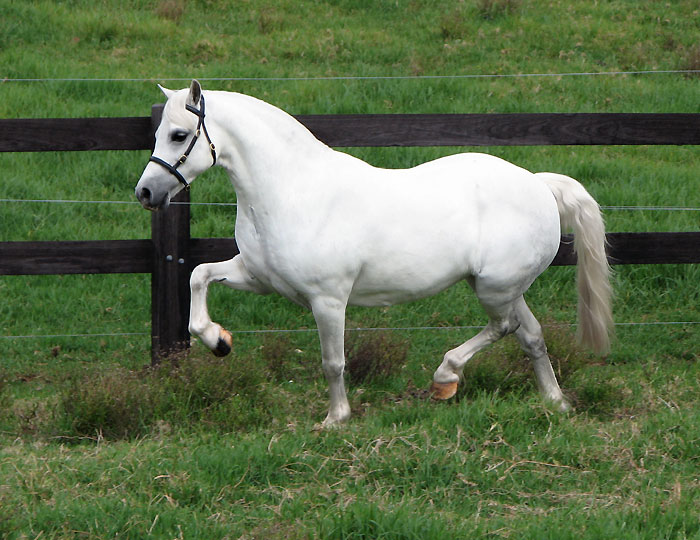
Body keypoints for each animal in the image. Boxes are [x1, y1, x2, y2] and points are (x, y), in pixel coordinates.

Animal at [135, 80, 613, 426]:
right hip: (504, 287)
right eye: (158, 133)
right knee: (529, 334)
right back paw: (555, 402)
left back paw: (446, 377)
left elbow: (332, 362)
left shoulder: (327, 300)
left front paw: (335, 419)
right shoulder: (258, 277)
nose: (145, 193)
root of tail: (538, 184)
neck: (294, 190)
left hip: (495, 288)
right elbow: (198, 274)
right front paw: (219, 341)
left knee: (505, 327)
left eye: (179, 134)